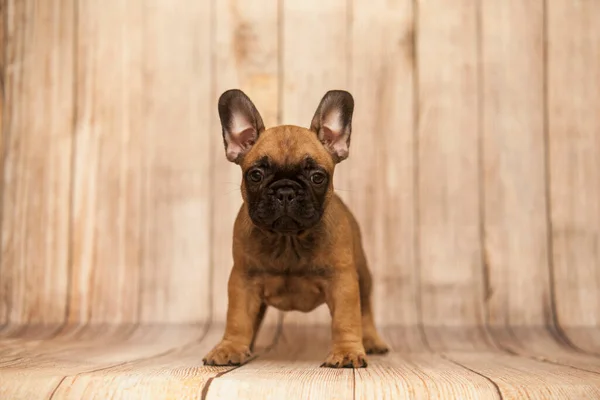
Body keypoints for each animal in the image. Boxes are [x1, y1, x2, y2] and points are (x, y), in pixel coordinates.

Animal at [202, 89, 390, 368]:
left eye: (317, 177)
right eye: (255, 175)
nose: (285, 191)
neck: (288, 239)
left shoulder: (343, 281)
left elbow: (346, 319)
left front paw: (346, 352)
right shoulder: (243, 281)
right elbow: (238, 318)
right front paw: (231, 347)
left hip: (363, 275)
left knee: (365, 308)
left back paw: (371, 340)